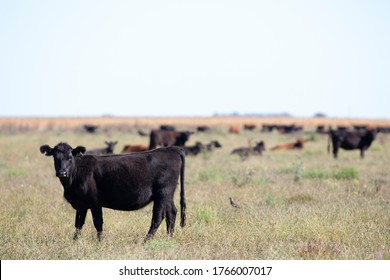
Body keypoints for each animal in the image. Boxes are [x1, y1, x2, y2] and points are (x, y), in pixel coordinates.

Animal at [39, 143, 186, 242]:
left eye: (70, 157)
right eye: (55, 157)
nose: (62, 172)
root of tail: (171, 149)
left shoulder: (95, 201)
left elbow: (98, 222)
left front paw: (100, 242)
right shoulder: (81, 204)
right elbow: (78, 224)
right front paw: (75, 240)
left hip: (163, 193)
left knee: (158, 217)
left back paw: (146, 241)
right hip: (168, 195)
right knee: (171, 213)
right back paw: (169, 238)